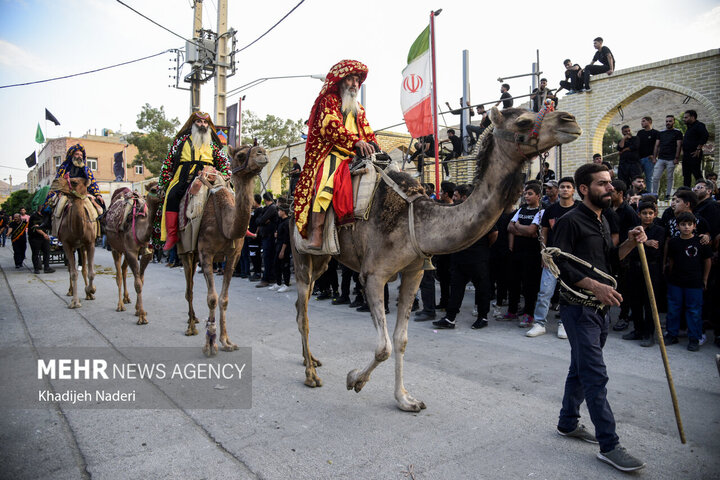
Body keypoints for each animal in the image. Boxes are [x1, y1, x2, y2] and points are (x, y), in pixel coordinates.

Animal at [50, 175, 98, 308]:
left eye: (74, 182)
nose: (55, 182)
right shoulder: (67, 244)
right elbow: (73, 273)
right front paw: (75, 302)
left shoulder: (90, 243)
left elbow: (90, 272)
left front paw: (91, 290)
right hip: (71, 247)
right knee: (70, 269)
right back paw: (70, 291)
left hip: (81, 246)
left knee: (84, 269)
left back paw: (88, 294)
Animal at [105, 181, 160, 326]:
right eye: (154, 189)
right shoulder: (131, 252)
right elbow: (138, 284)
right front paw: (142, 317)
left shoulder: (147, 254)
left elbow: (141, 280)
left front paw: (138, 310)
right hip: (116, 248)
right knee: (118, 274)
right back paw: (120, 305)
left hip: (125, 250)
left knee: (124, 270)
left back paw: (126, 298)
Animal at [179, 142, 268, 356]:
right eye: (241, 155)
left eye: (259, 149)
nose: (262, 153)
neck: (225, 222)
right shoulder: (206, 254)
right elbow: (211, 298)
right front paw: (210, 343)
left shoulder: (233, 255)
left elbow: (224, 299)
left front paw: (226, 341)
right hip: (186, 250)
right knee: (189, 288)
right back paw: (191, 326)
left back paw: (194, 319)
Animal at [290, 107, 584, 410]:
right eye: (523, 121)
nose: (569, 121)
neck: (416, 220)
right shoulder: (372, 275)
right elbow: (383, 347)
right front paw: (354, 380)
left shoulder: (413, 272)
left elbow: (401, 339)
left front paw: (405, 399)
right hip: (302, 255)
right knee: (303, 313)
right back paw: (311, 375)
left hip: (323, 260)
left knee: (303, 306)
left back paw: (311, 360)